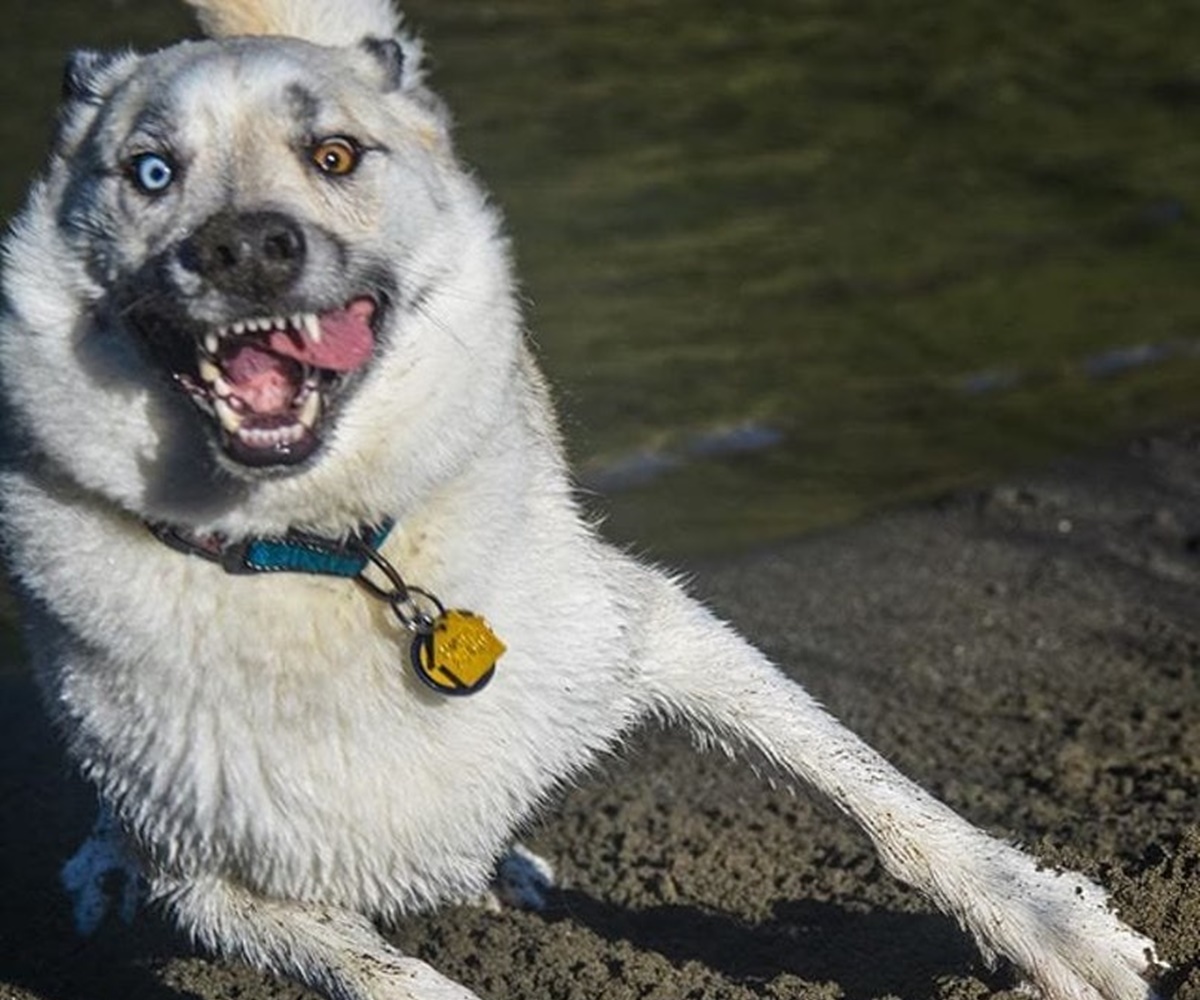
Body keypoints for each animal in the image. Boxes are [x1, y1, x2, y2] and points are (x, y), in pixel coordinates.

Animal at [0, 1, 1166, 998]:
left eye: (333, 155)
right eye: (152, 171)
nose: (244, 248)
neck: (325, 555)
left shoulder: (653, 627)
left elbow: (885, 797)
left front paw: (1060, 930)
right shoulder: (215, 890)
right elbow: (389, 975)